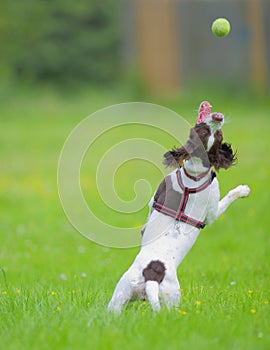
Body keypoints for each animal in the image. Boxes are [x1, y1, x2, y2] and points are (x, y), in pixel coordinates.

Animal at [107, 100, 249, 312]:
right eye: (204, 130)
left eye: (219, 135)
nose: (218, 117)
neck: (195, 174)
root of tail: (151, 275)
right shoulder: (211, 208)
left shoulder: (161, 197)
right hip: (154, 295)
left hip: (129, 293)